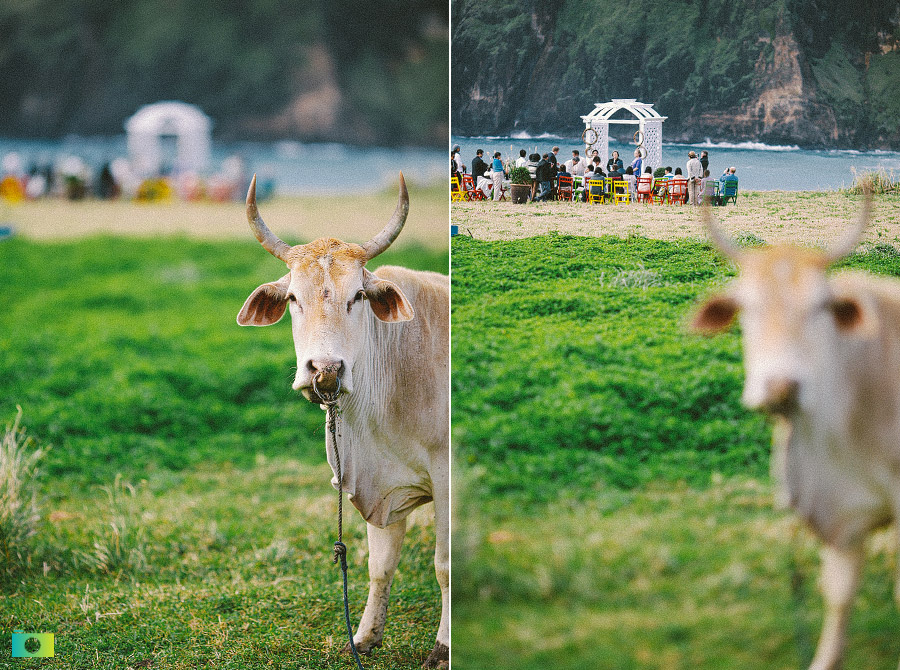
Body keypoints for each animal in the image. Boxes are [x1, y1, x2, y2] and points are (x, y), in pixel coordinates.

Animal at [236, 176, 450, 668]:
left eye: (357, 297)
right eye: (293, 298)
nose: (326, 370)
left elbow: (445, 565)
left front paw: (443, 648)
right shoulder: (382, 483)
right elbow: (380, 565)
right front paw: (366, 636)